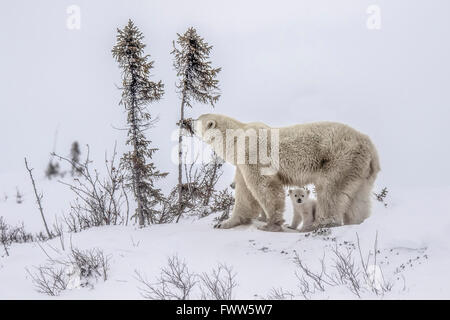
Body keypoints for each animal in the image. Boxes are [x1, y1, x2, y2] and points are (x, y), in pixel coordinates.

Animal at [191, 114, 380, 231]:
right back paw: (356, 221)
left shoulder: (252, 153)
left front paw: (270, 224)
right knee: (358, 200)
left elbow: (264, 186)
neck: (237, 138)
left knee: (330, 191)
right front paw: (225, 223)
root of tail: (370, 146)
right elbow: (245, 194)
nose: (188, 121)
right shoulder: (241, 164)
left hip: (339, 158)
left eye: (197, 119)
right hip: (359, 170)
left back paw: (320, 223)